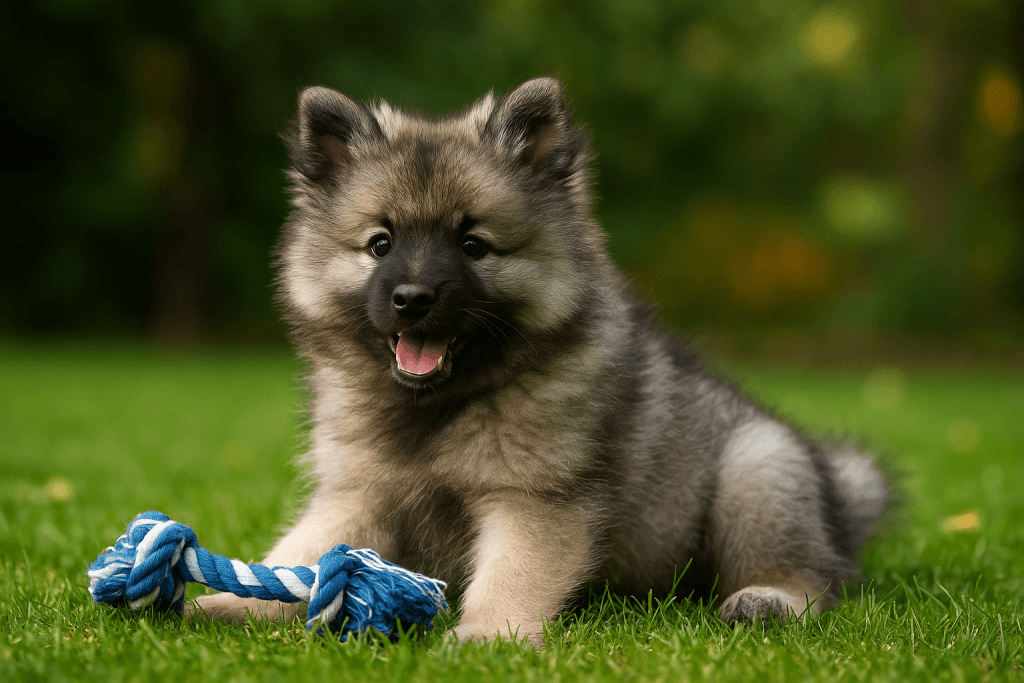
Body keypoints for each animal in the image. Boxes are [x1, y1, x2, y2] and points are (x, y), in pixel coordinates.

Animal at [192, 77, 889, 647]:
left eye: (473, 244)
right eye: (380, 244)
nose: (412, 298)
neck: (441, 405)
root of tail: (837, 494)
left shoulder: (534, 498)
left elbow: (513, 573)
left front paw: (488, 636)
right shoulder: (359, 492)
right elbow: (304, 556)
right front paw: (232, 602)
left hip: (757, 467)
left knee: (808, 576)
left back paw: (765, 600)